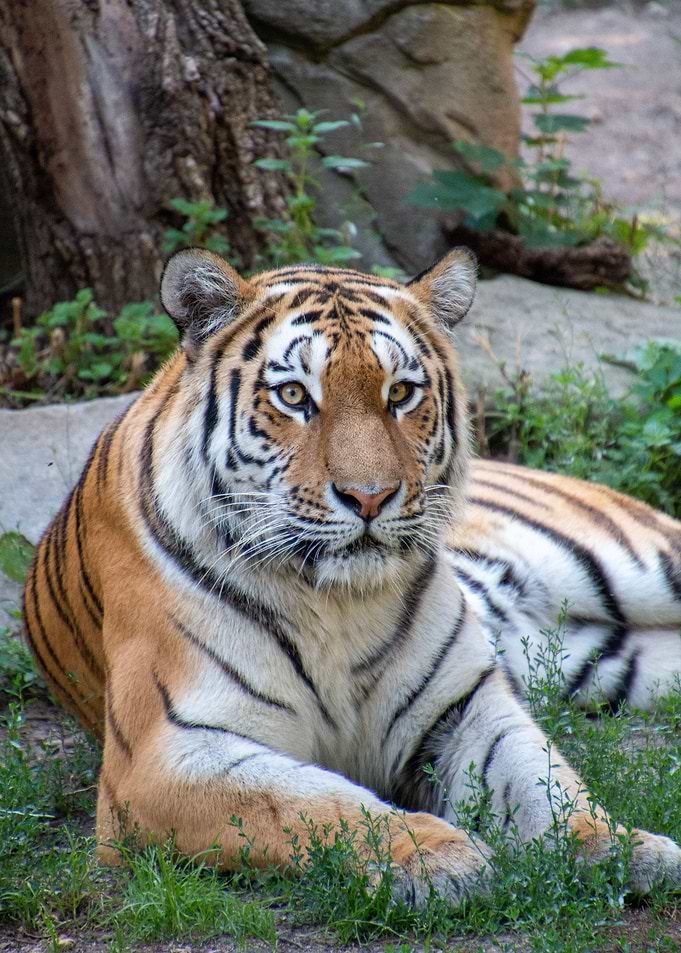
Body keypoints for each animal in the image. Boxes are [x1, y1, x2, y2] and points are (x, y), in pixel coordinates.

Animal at [23, 248, 681, 905]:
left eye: (402, 393)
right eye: (294, 395)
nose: (370, 497)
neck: (338, 604)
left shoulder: (465, 706)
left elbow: (544, 783)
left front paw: (622, 846)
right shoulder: (163, 756)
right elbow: (318, 805)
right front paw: (437, 859)